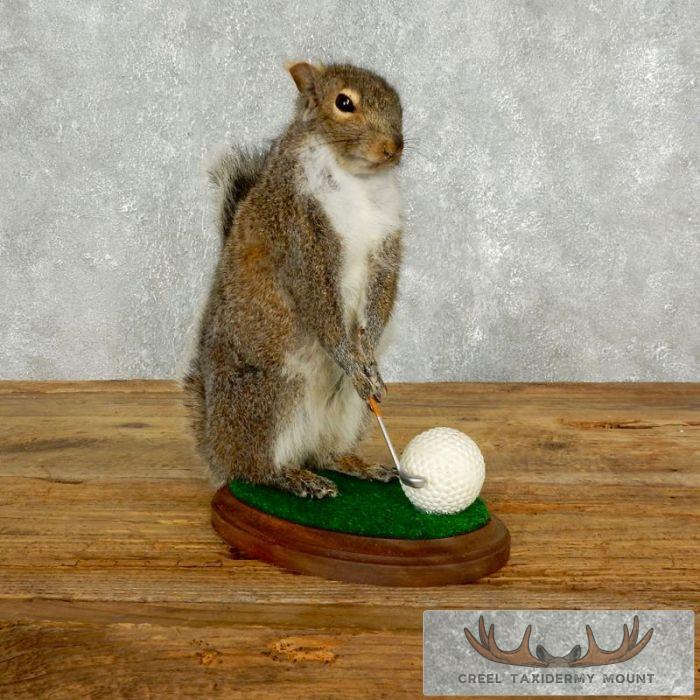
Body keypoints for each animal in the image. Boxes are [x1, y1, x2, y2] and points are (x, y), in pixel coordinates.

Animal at [184, 62, 404, 498]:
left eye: (398, 100)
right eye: (344, 103)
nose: (395, 147)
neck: (357, 181)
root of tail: (217, 446)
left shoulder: (386, 245)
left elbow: (380, 299)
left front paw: (369, 359)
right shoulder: (301, 236)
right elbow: (320, 306)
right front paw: (352, 361)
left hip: (347, 410)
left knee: (325, 454)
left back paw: (359, 466)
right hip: (272, 394)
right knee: (253, 469)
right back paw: (291, 478)